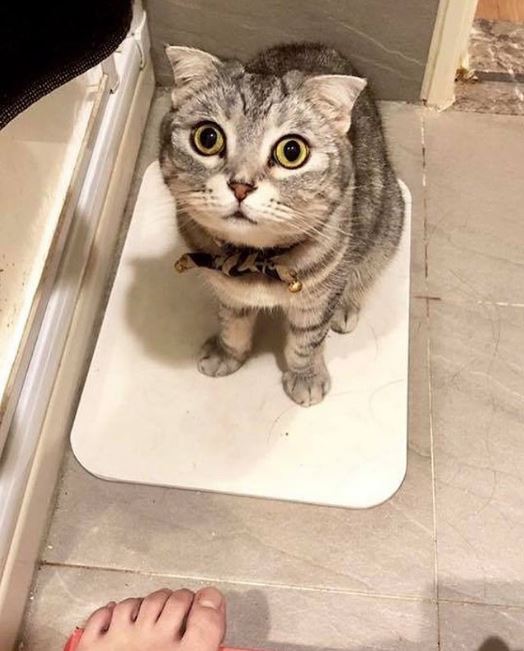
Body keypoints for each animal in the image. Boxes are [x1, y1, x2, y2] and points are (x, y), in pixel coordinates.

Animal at [159, 42, 404, 407]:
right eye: (208, 137)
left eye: (292, 151)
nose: (241, 185)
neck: (254, 260)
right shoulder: (227, 292)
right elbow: (232, 324)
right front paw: (227, 354)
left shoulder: (318, 298)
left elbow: (307, 340)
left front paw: (306, 377)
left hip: (388, 224)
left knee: (364, 272)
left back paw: (346, 306)